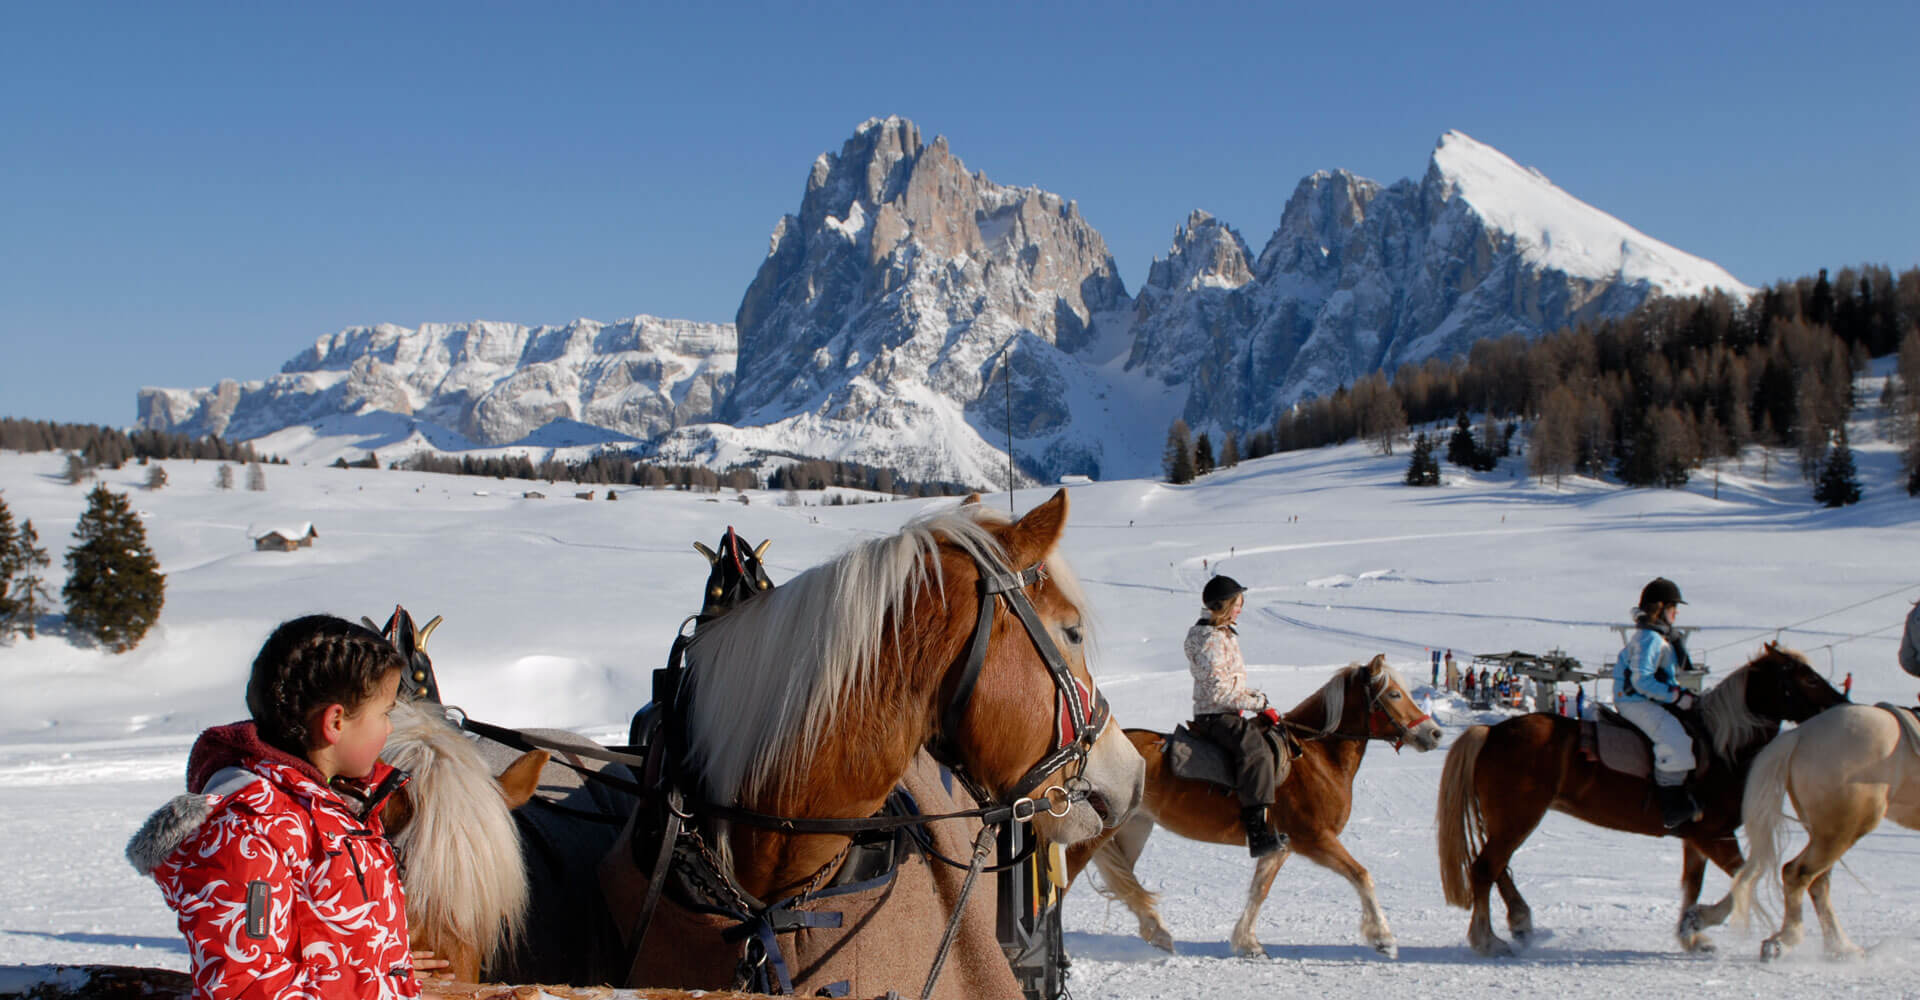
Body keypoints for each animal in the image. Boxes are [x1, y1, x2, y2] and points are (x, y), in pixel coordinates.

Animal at [1067, 656, 1443, 959]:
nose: (1435, 733)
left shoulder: (1280, 845)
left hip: (1134, 828)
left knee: (1122, 880)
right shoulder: (1315, 839)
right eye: (1394, 694)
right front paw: (1383, 939)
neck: (1314, 756)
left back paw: (1156, 931)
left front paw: (1247, 942)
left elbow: (1259, 890)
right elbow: (1362, 875)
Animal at [1436, 644, 1850, 955]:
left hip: (1509, 821)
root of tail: (1491, 733)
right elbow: (1747, 877)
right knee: (1485, 869)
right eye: (1808, 677)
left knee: (1498, 868)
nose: (1842, 703)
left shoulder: (1696, 839)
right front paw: (1704, 924)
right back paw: (1488, 940)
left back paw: (1521, 922)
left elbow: (1693, 885)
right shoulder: (1716, 836)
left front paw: (1692, 934)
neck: (1722, 748)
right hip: (1517, 819)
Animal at [1728, 698, 1920, 955]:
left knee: (1817, 881)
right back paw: (1787, 940)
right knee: (1797, 873)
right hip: (1844, 829)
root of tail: (1801, 734)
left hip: (1824, 832)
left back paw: (1840, 948)